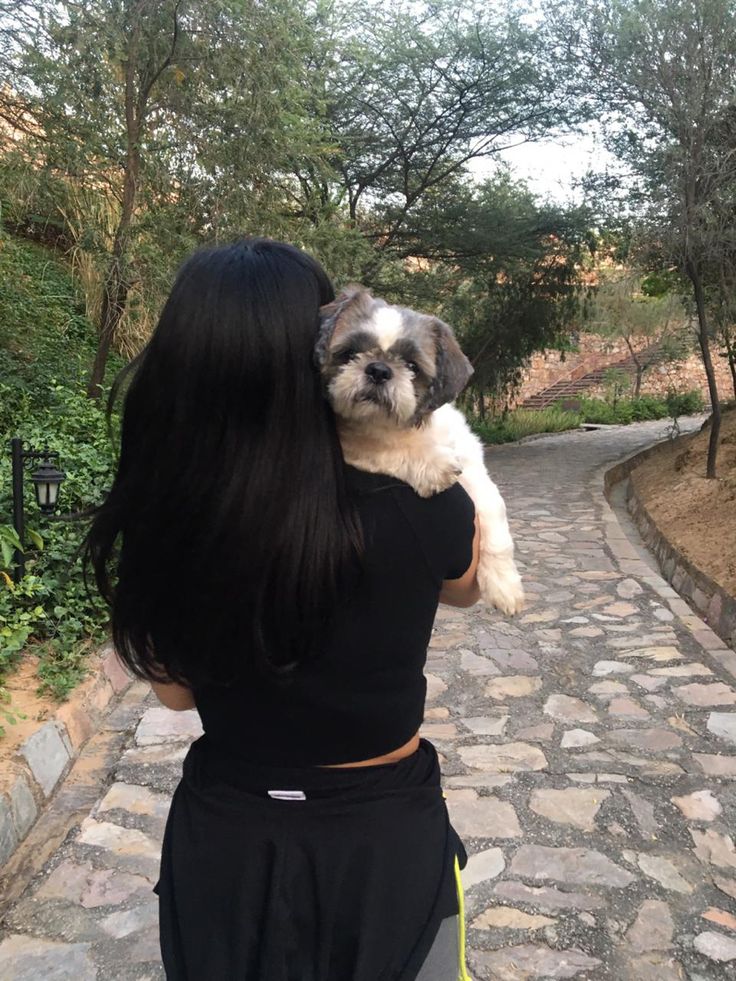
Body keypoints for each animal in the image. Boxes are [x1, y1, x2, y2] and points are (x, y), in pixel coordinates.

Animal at [316, 284, 524, 616]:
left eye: (412, 366)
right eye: (349, 354)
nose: (378, 369)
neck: (406, 427)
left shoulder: (471, 464)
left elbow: (494, 511)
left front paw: (504, 585)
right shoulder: (353, 443)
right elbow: (386, 448)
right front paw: (433, 465)